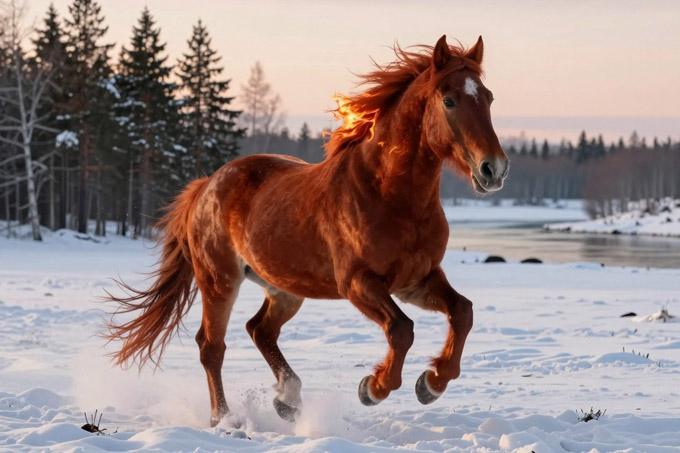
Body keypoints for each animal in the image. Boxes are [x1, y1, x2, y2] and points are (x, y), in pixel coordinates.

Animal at [105, 34, 509, 426]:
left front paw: (431, 383)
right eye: (449, 100)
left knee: (259, 330)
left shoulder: (417, 279)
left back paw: (287, 400)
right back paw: (225, 418)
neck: (389, 195)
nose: (494, 169)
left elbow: (463, 312)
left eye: (488, 97)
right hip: (220, 281)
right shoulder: (358, 283)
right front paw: (373, 388)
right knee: (211, 346)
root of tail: (206, 186)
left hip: (283, 289)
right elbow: (401, 329)